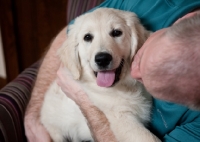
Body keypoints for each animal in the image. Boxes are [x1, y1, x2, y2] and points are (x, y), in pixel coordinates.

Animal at [40, 8, 159, 142]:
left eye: (116, 32)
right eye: (87, 37)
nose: (102, 59)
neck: (125, 87)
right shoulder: (120, 118)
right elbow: (149, 138)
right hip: (56, 131)